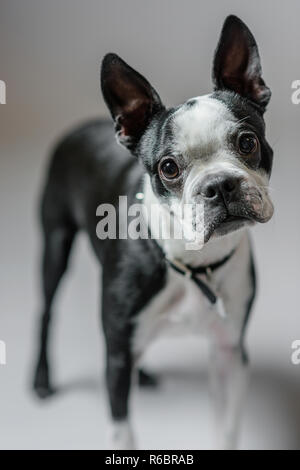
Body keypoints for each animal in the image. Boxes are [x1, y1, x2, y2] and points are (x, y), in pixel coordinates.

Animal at [32, 13, 274, 448]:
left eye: (247, 142)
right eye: (169, 167)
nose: (220, 185)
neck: (194, 263)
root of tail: (79, 127)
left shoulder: (229, 353)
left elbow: (226, 430)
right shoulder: (115, 363)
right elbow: (123, 432)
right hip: (54, 245)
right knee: (46, 311)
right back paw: (42, 380)